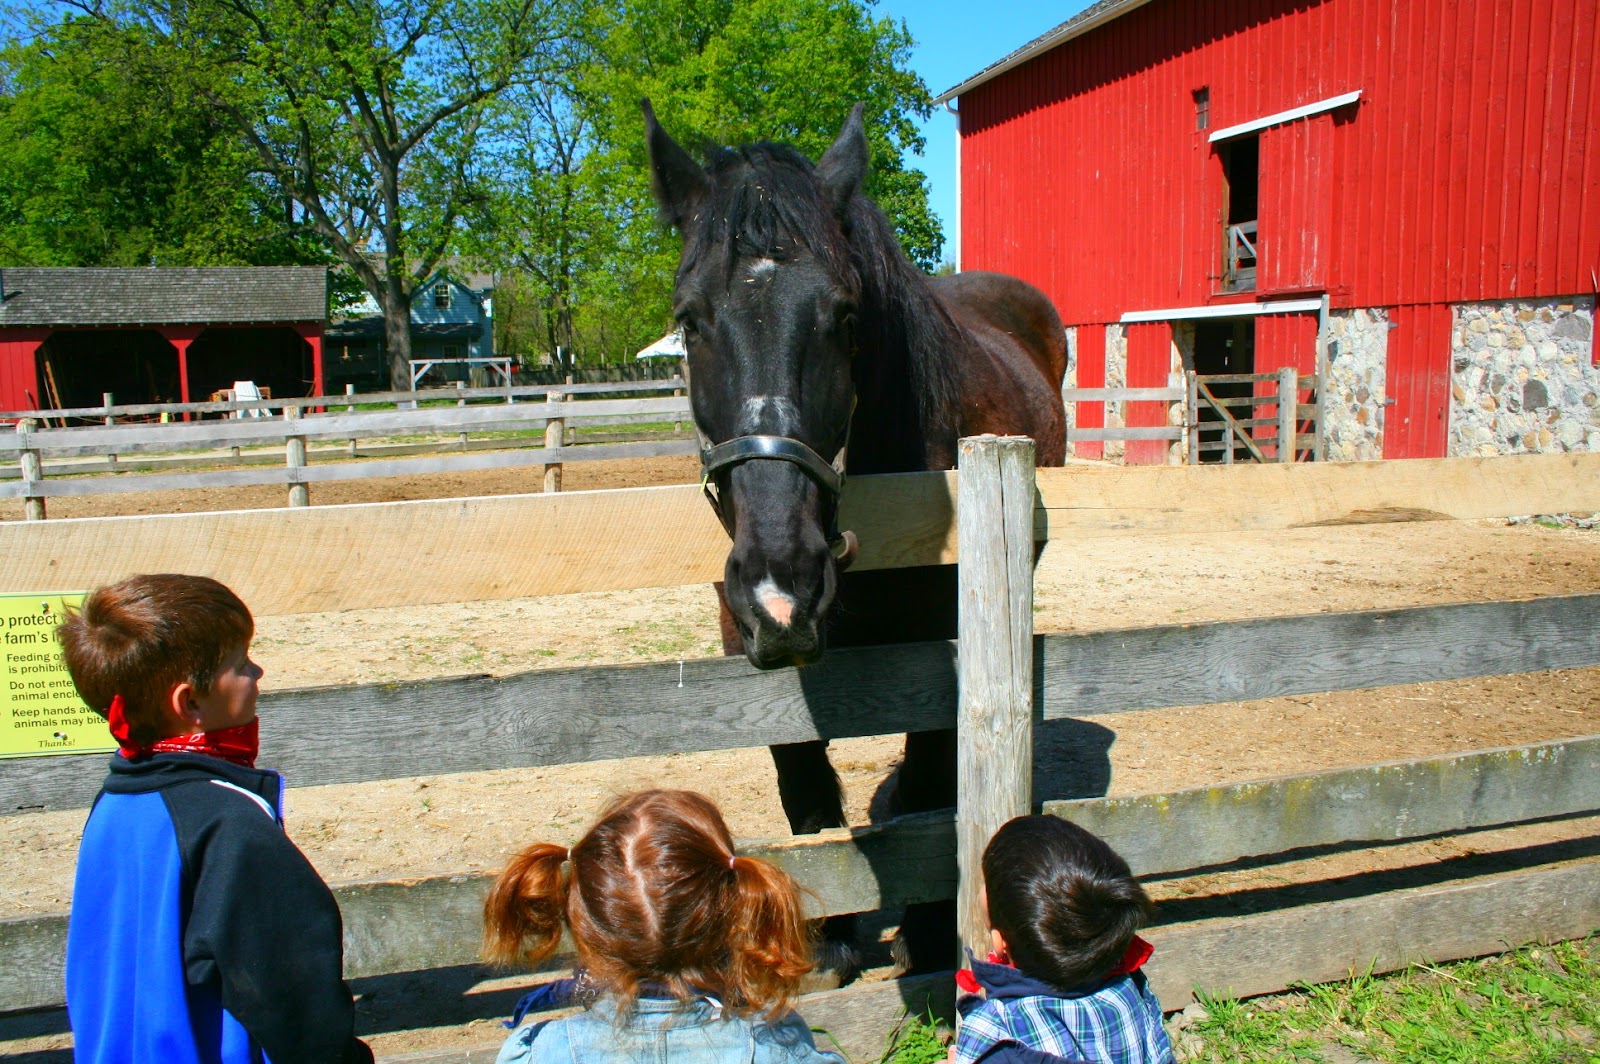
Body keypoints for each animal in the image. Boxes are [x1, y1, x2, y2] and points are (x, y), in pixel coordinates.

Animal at [643, 99, 1067, 974]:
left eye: (844, 316)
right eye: (690, 321)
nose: (783, 579)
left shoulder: (944, 649)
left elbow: (937, 783)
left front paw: (932, 939)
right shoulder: (748, 635)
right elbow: (804, 788)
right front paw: (828, 936)